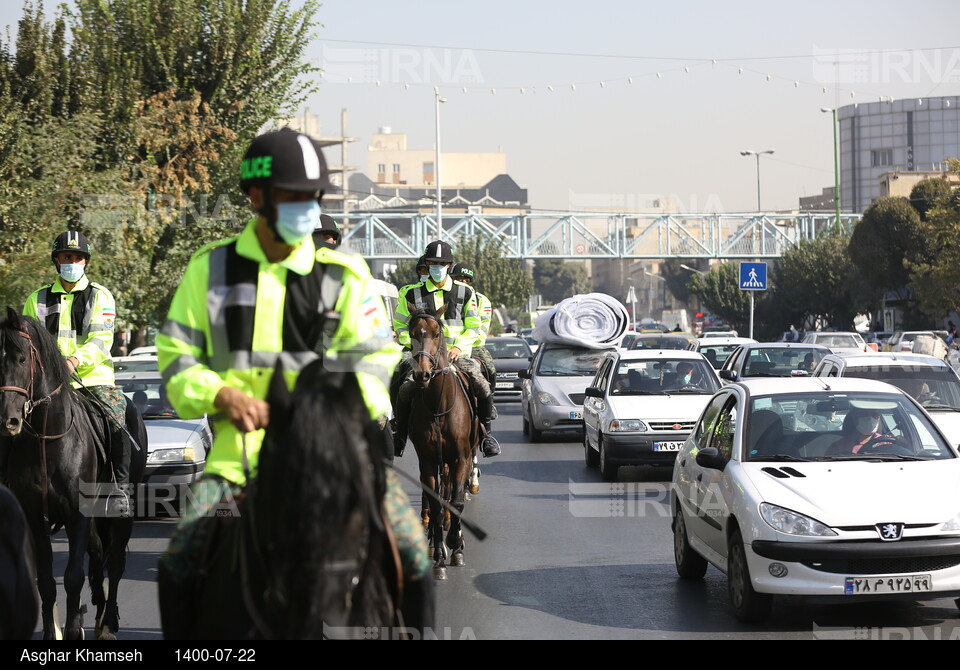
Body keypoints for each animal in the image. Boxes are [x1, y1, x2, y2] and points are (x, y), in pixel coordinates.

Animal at [0, 310, 145, 640]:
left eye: (21, 359)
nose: (8, 420)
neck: (47, 438)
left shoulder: (76, 516)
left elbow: (73, 576)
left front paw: (73, 630)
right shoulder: (35, 518)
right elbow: (46, 582)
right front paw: (53, 632)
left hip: (122, 513)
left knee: (115, 563)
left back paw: (108, 623)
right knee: (98, 555)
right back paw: (99, 614)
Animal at [406, 308, 478, 580]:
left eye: (437, 334)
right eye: (411, 334)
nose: (422, 374)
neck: (439, 406)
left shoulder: (461, 458)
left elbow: (456, 503)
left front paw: (456, 546)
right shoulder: (427, 461)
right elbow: (436, 505)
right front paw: (438, 557)